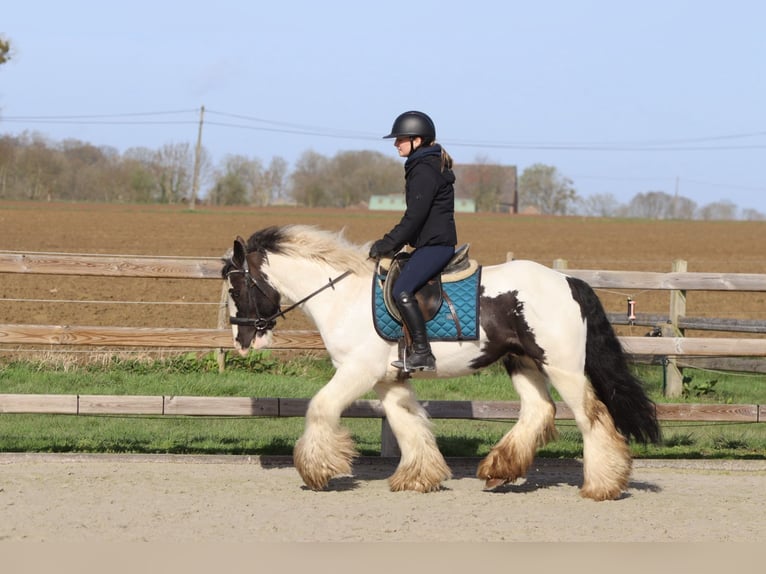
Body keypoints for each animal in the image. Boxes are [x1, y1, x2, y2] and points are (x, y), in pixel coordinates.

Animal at [221, 224, 660, 500]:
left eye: (235, 287)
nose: (242, 341)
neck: (342, 295)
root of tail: (568, 281)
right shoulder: (388, 379)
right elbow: (408, 425)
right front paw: (420, 477)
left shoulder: (357, 371)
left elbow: (320, 408)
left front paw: (317, 471)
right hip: (522, 362)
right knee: (539, 410)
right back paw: (499, 470)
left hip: (562, 366)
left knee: (592, 416)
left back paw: (603, 486)